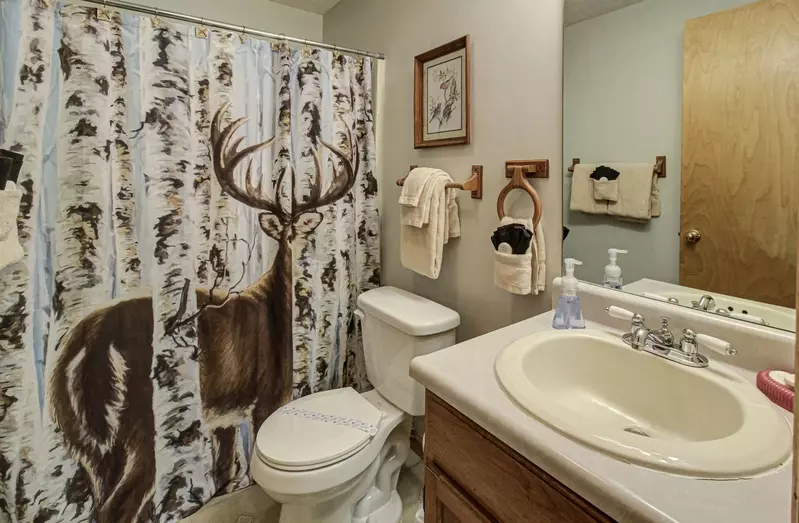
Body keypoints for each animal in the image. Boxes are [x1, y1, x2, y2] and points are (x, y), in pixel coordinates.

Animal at [50, 103, 360, 523]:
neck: (270, 304)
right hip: (140, 419)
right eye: (283, 231)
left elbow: (225, 472)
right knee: (121, 504)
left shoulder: (224, 420)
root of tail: (86, 338)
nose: (300, 246)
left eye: (301, 227)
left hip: (87, 441)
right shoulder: (269, 395)